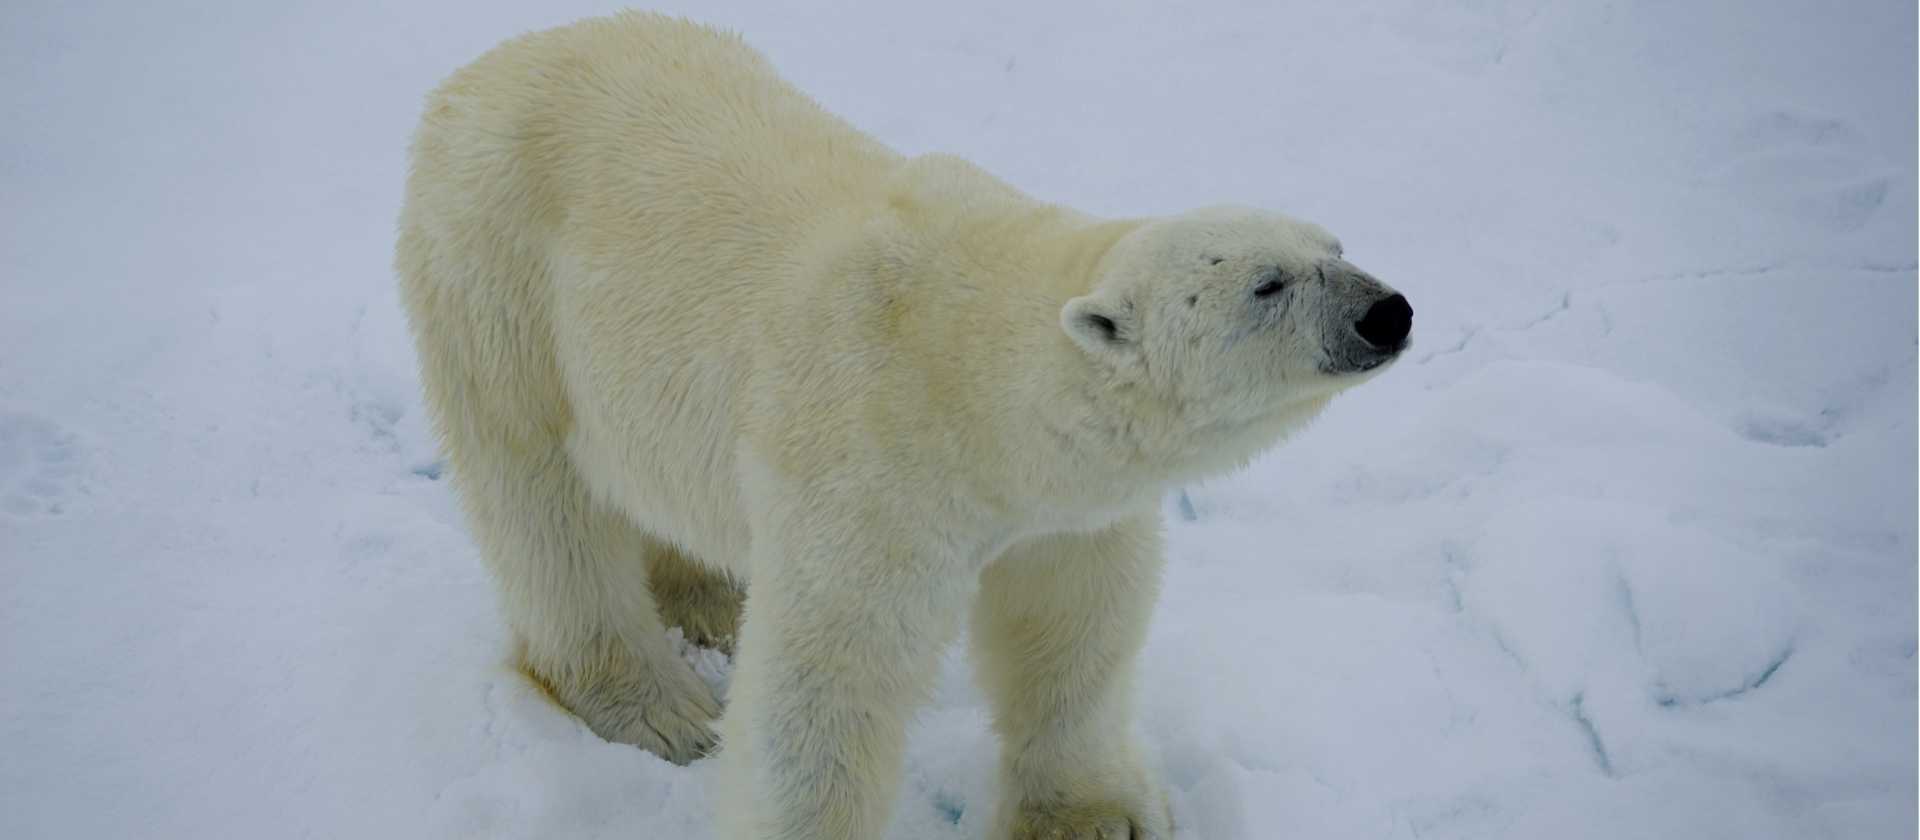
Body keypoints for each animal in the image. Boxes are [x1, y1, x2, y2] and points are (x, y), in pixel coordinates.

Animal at [396, 12, 1410, 840]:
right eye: (1268, 284)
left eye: (1336, 245)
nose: (1387, 312)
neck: (973, 365)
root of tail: (481, 70)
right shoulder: (872, 466)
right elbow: (827, 683)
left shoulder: (1057, 510)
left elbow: (1077, 624)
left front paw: (1094, 817)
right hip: (498, 278)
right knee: (539, 501)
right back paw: (657, 706)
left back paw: (711, 598)